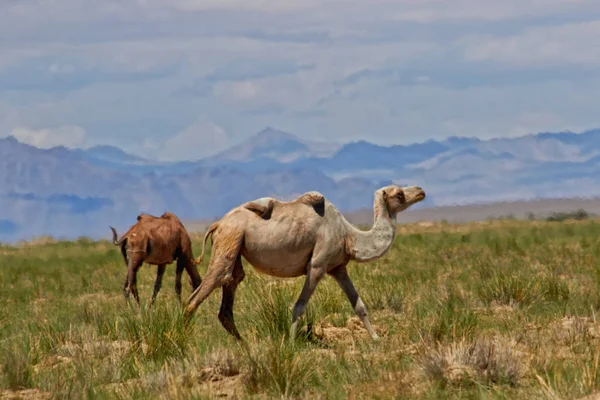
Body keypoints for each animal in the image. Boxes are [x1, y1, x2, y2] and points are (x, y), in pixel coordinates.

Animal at [185, 184, 424, 340]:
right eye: (399, 193)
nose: (421, 191)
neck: (349, 236)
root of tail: (218, 224)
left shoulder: (338, 267)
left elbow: (359, 305)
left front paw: (376, 339)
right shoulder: (318, 265)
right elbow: (299, 306)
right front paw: (291, 344)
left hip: (234, 247)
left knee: (229, 294)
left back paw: (244, 346)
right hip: (230, 238)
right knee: (197, 296)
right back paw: (182, 342)